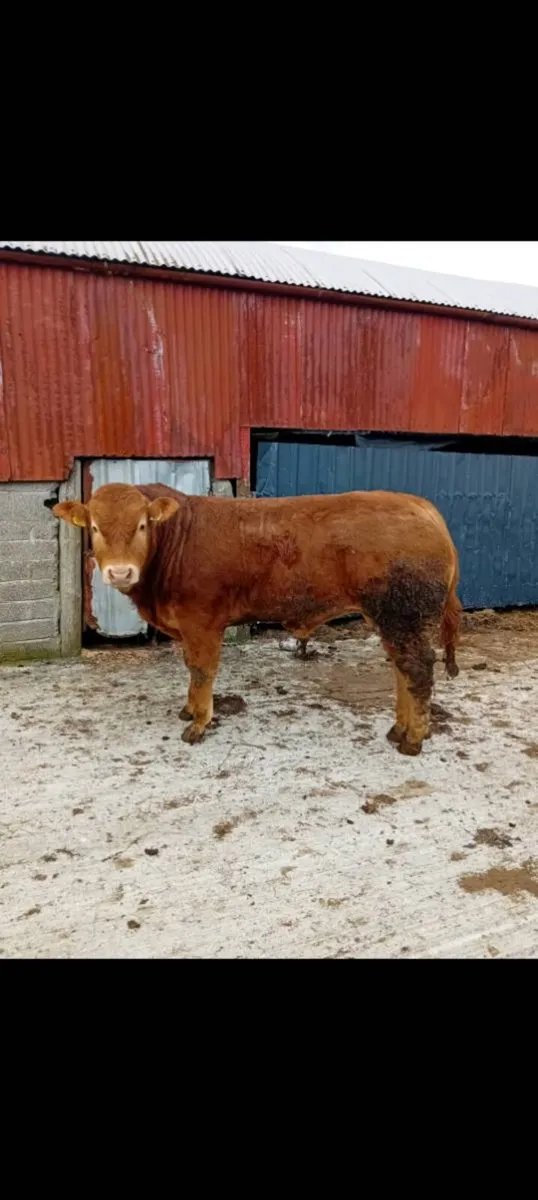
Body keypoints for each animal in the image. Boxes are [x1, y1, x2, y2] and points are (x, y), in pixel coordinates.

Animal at [53, 483, 461, 756]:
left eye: (142, 525)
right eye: (94, 527)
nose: (120, 572)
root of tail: (419, 505)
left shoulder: (202, 622)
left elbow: (202, 671)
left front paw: (199, 723)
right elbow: (190, 668)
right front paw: (189, 710)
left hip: (403, 616)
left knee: (417, 670)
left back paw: (412, 739)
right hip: (392, 619)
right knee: (402, 670)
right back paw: (399, 729)